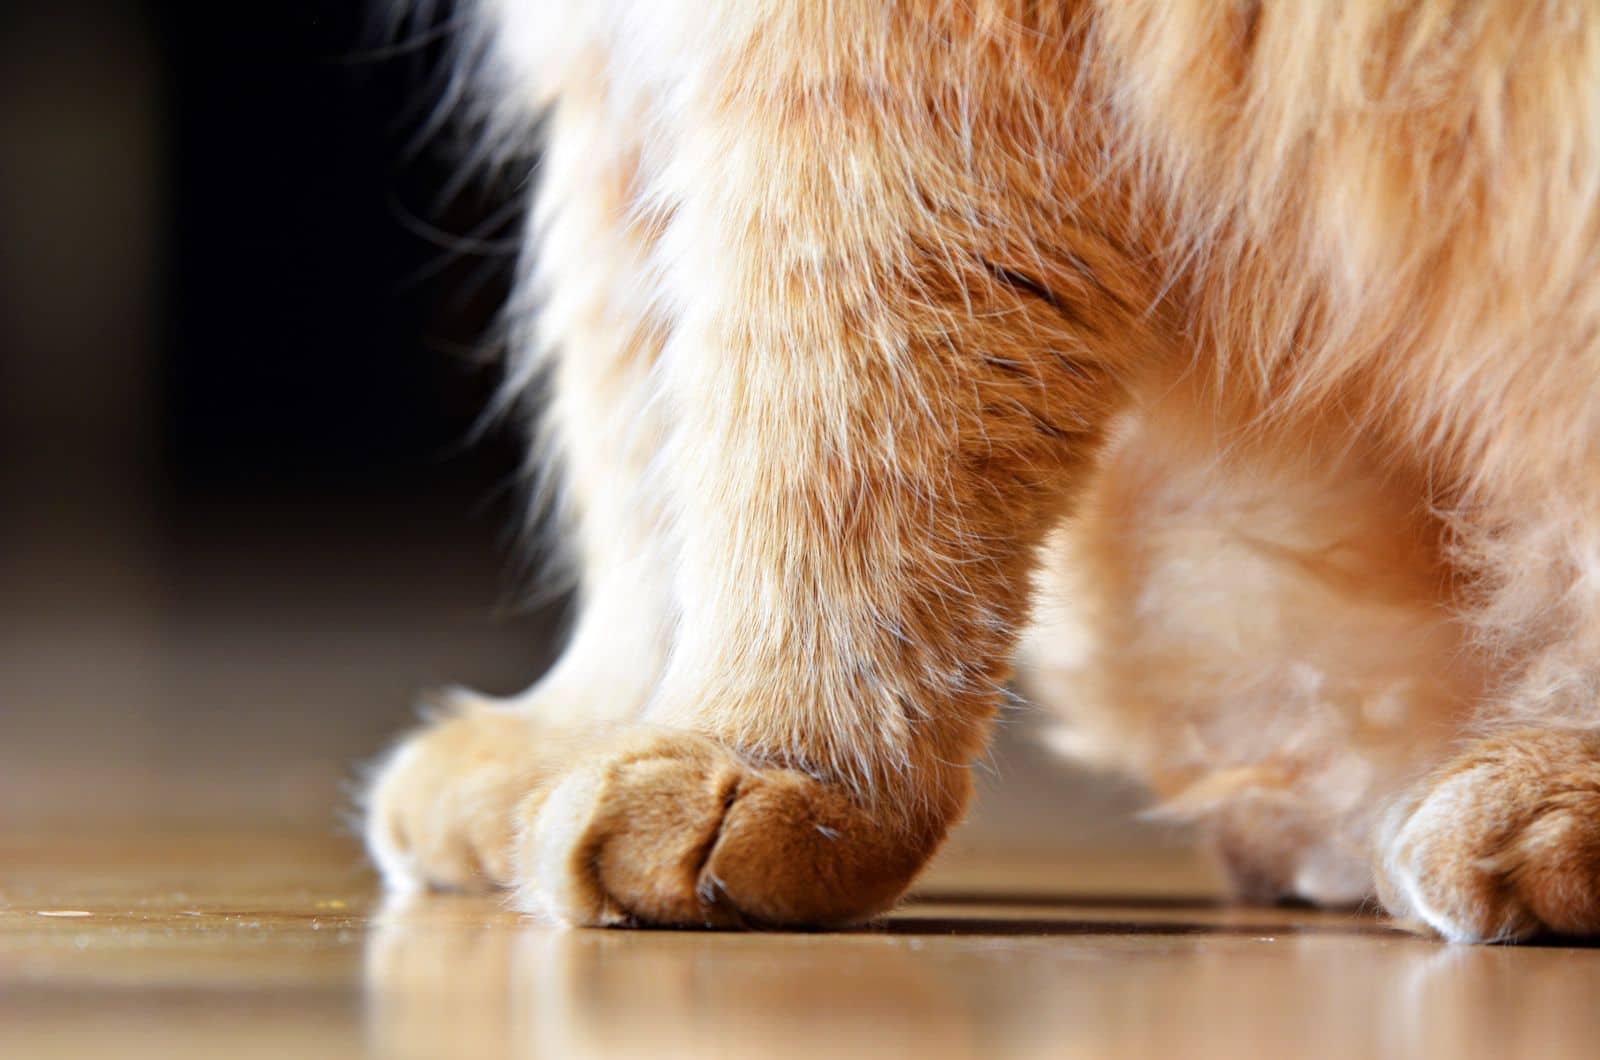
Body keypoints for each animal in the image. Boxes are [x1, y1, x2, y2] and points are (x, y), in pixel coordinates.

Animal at [368, 2, 1600, 947]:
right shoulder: (624, 79)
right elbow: (639, 457)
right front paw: (570, 733)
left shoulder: (887, 81)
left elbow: (810, 440)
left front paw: (759, 754)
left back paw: (1539, 800)